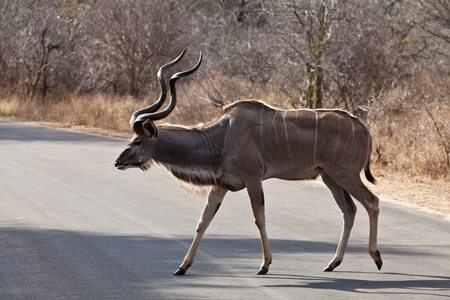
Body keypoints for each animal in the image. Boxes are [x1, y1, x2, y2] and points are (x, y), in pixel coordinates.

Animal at [116, 49, 384, 276]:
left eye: (137, 140)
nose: (118, 161)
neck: (222, 136)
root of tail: (364, 128)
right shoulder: (220, 185)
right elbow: (202, 222)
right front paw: (182, 267)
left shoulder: (253, 179)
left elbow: (259, 218)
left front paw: (265, 265)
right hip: (329, 177)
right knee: (349, 210)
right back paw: (332, 263)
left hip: (346, 175)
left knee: (372, 202)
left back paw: (377, 258)